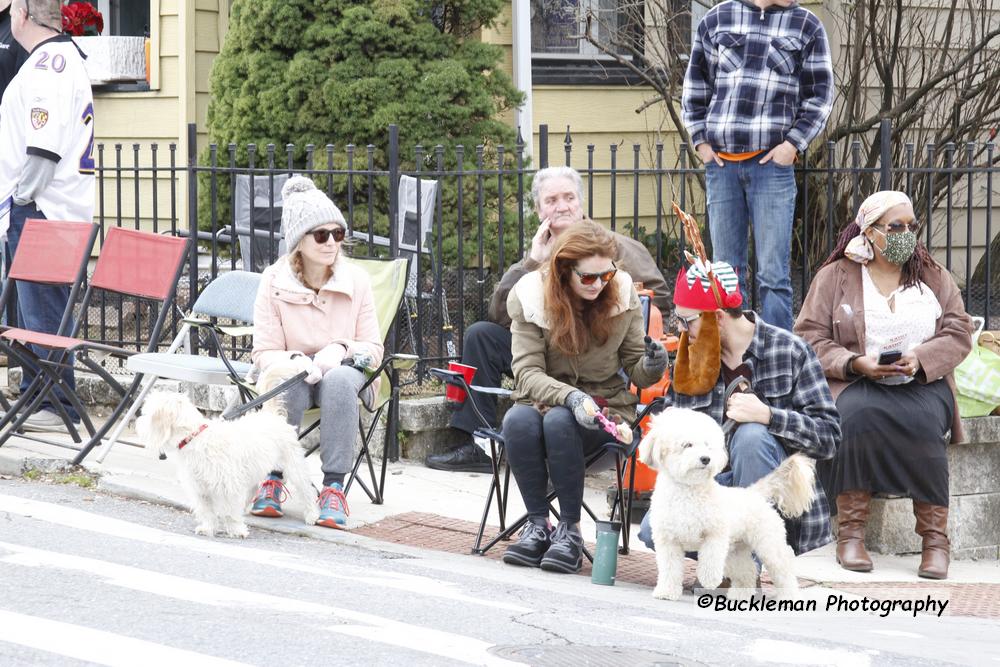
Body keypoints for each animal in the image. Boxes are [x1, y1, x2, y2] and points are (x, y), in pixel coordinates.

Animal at [135, 388, 318, 540]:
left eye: (146, 413)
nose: (137, 423)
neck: (195, 437)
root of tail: (272, 415)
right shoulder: (200, 488)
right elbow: (207, 511)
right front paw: (208, 528)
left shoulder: (229, 486)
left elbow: (229, 512)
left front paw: (237, 531)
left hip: (294, 465)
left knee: (307, 490)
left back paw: (312, 515)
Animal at [640, 408, 812, 600]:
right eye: (687, 445)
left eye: (708, 445)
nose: (706, 459)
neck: (688, 491)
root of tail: (754, 493)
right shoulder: (668, 541)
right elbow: (670, 569)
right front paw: (666, 592)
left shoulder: (715, 535)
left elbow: (710, 559)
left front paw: (709, 580)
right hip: (736, 550)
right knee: (747, 572)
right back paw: (740, 595)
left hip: (768, 543)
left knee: (784, 570)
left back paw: (789, 596)